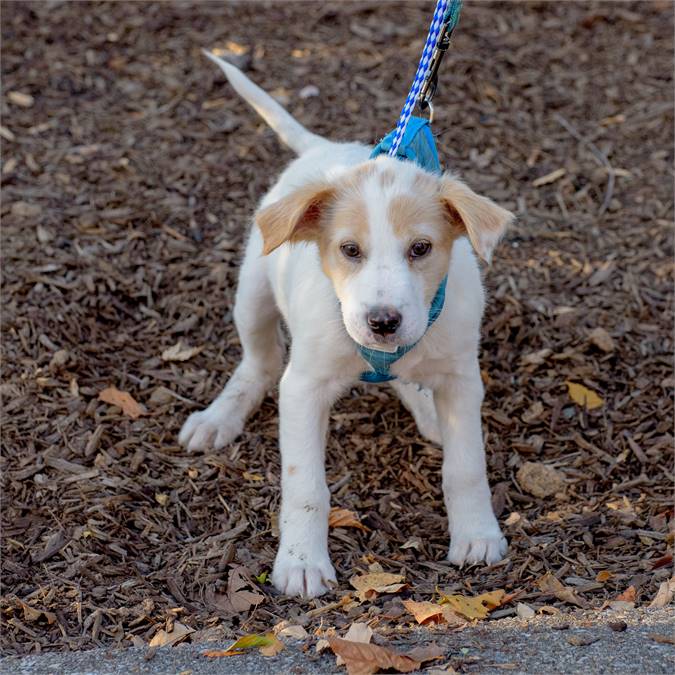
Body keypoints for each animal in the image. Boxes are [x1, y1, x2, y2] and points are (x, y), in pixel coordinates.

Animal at [180, 54, 512, 604]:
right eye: (349, 250)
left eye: (421, 249)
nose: (383, 321)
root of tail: (327, 149)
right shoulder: (303, 388)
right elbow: (305, 486)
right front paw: (301, 563)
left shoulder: (463, 379)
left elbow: (466, 467)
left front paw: (477, 535)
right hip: (252, 295)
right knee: (260, 362)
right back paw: (220, 415)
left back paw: (426, 409)